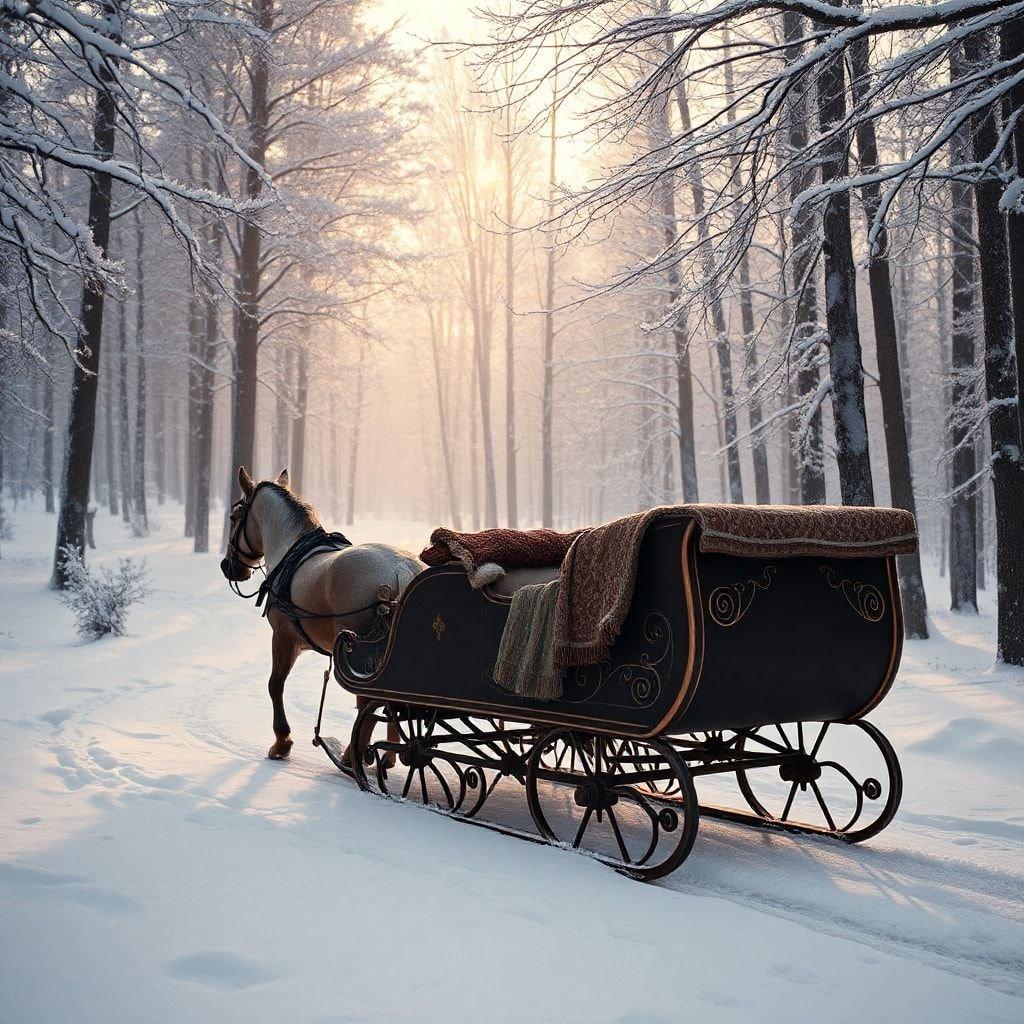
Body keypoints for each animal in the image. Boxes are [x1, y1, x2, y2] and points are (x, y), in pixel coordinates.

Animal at [220, 464, 419, 761]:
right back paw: (389, 754)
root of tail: (401, 568)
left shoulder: (284, 638)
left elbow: (275, 685)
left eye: (234, 517)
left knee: (369, 703)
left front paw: (282, 742)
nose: (227, 566)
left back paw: (353, 756)